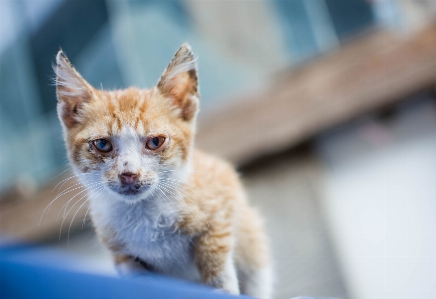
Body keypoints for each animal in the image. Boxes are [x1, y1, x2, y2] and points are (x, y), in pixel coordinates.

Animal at [55, 43, 272, 298]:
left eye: (155, 141)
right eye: (102, 144)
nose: (129, 173)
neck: (143, 213)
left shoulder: (220, 209)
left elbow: (216, 264)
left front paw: (221, 287)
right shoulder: (121, 255)